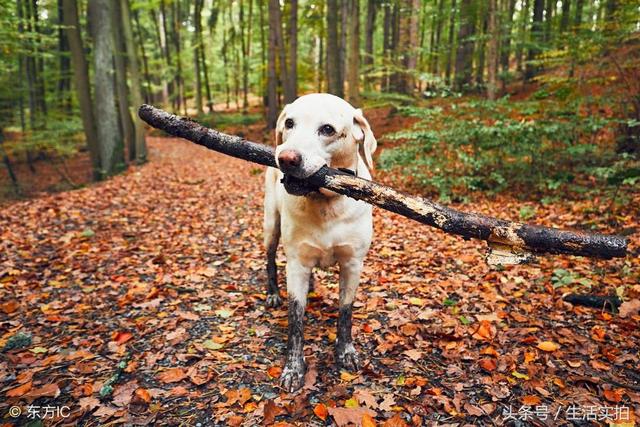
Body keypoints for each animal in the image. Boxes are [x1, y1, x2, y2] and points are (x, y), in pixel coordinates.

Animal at [264, 94, 378, 394]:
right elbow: (296, 320)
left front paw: (345, 353)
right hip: (270, 226)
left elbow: (345, 313)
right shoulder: (296, 265)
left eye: (327, 129)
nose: (286, 158)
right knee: (269, 259)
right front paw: (293, 368)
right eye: (289, 123)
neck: (326, 203)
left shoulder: (353, 264)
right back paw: (272, 293)